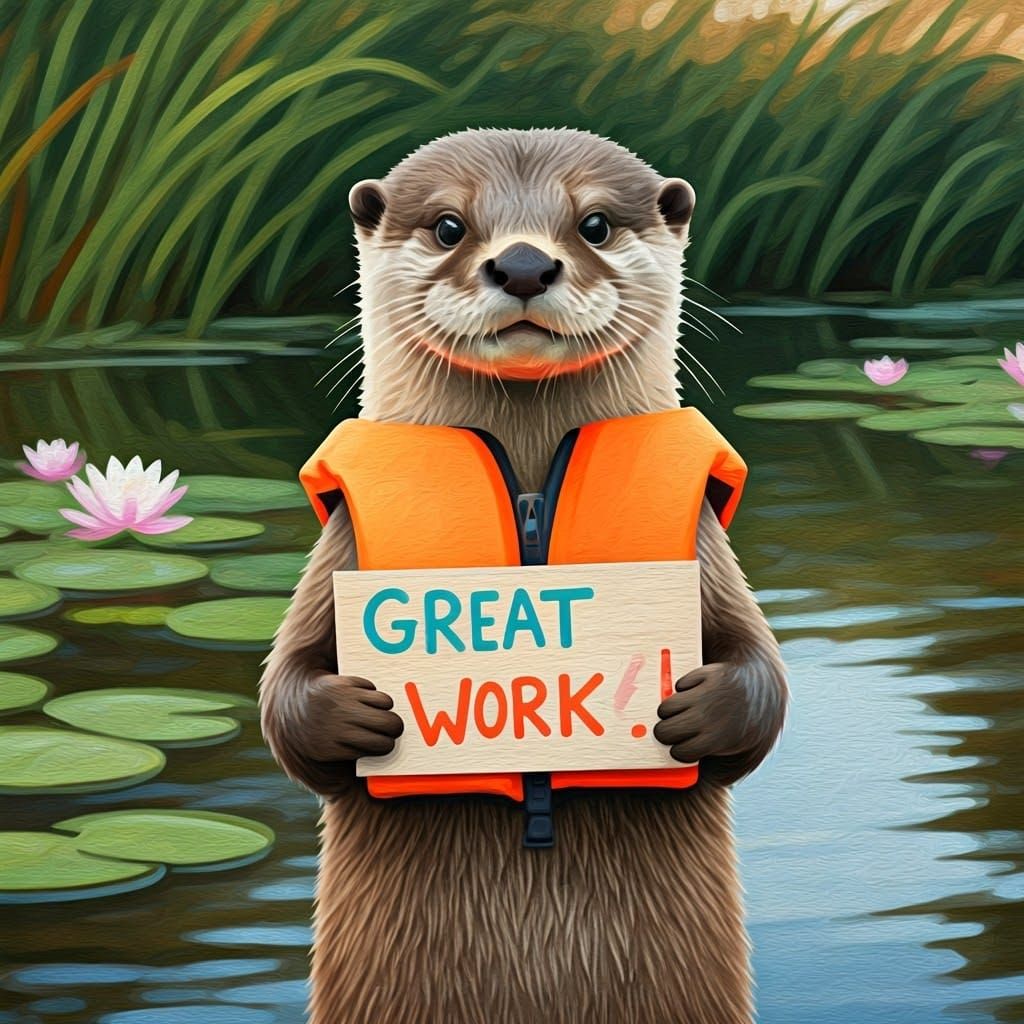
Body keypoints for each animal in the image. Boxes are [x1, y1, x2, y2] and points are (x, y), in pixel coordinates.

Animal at [260, 127, 787, 1024]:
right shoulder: (338, 545)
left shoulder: (707, 544)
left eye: (596, 222)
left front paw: (694, 710)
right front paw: (354, 716)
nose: (524, 265)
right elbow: (283, 691)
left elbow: (765, 675)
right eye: (448, 225)